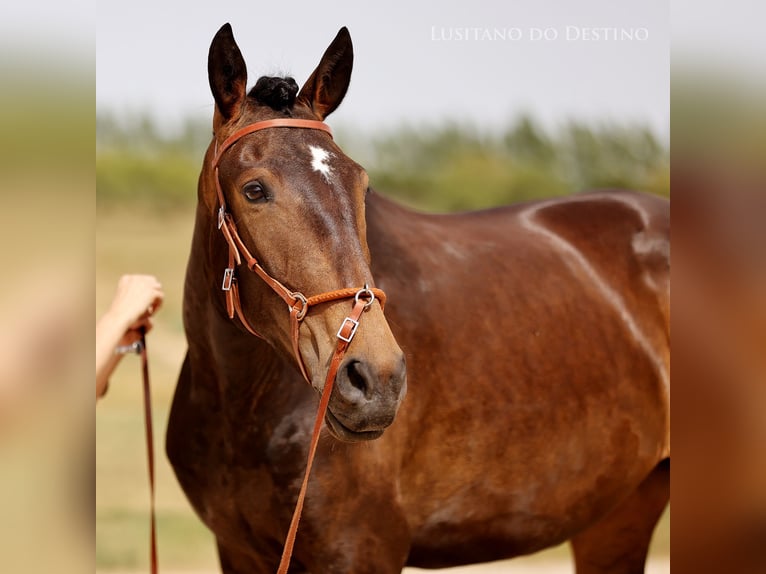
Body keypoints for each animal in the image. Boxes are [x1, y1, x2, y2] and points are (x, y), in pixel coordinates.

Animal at [165, 23, 668, 574]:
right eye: (254, 190)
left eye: (362, 185)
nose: (377, 379)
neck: (243, 403)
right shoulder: (238, 551)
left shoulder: (361, 549)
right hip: (620, 512)